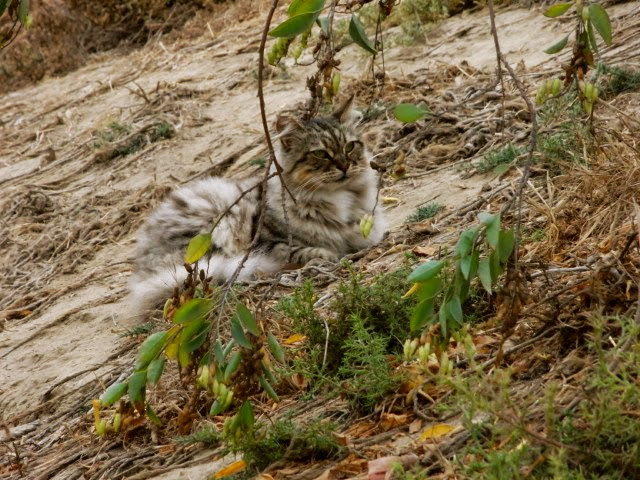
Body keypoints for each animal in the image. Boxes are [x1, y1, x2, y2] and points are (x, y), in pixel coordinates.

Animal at [130, 97, 384, 308]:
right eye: (321, 154)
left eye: (349, 146)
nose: (345, 166)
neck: (340, 199)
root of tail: (141, 262)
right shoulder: (265, 242)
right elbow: (299, 250)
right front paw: (326, 255)